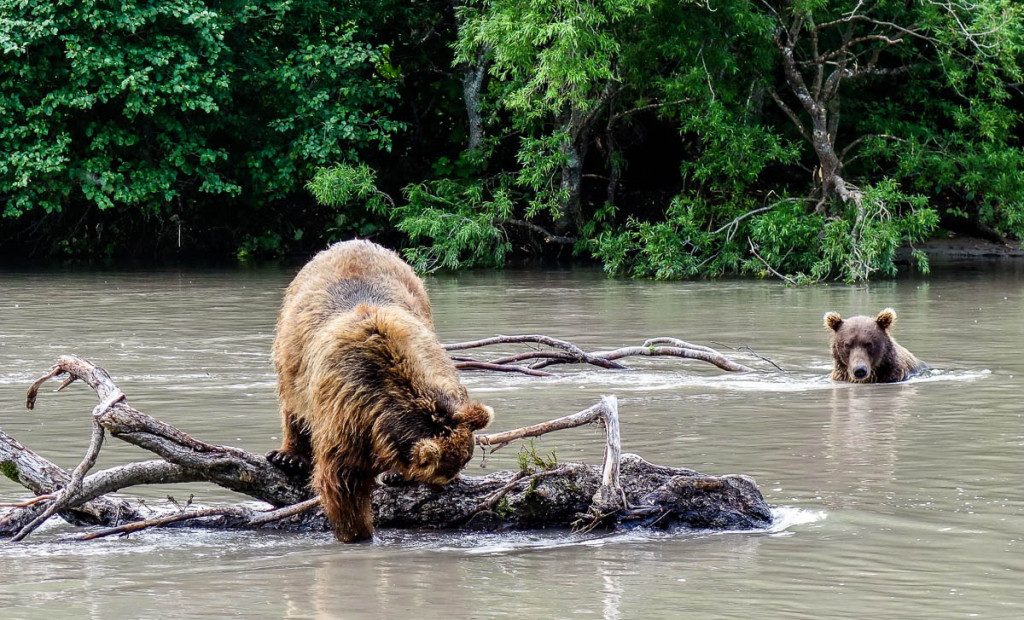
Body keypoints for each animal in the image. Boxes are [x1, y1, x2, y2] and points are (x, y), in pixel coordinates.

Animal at [266, 239, 493, 541]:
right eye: (443, 471)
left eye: (464, 462)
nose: (448, 484)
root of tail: (353, 242)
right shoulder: (345, 409)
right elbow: (343, 480)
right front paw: (357, 532)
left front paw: (396, 474)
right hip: (292, 351)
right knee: (292, 405)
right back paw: (289, 457)